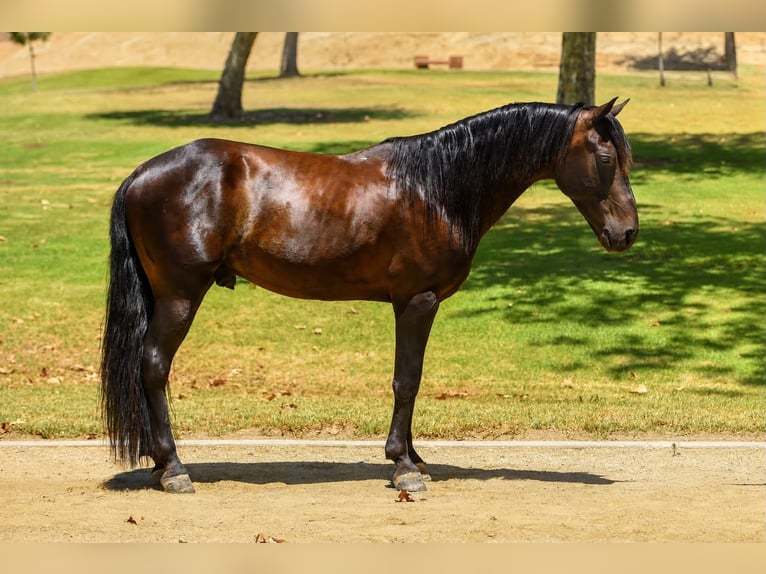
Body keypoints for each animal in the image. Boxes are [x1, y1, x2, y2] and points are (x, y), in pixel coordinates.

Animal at [101, 97, 638, 494]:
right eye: (606, 158)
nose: (628, 233)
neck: (435, 188)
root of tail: (141, 175)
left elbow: (412, 381)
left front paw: (417, 458)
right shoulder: (417, 301)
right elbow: (408, 381)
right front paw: (403, 467)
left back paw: (159, 465)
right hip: (179, 296)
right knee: (153, 366)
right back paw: (173, 469)